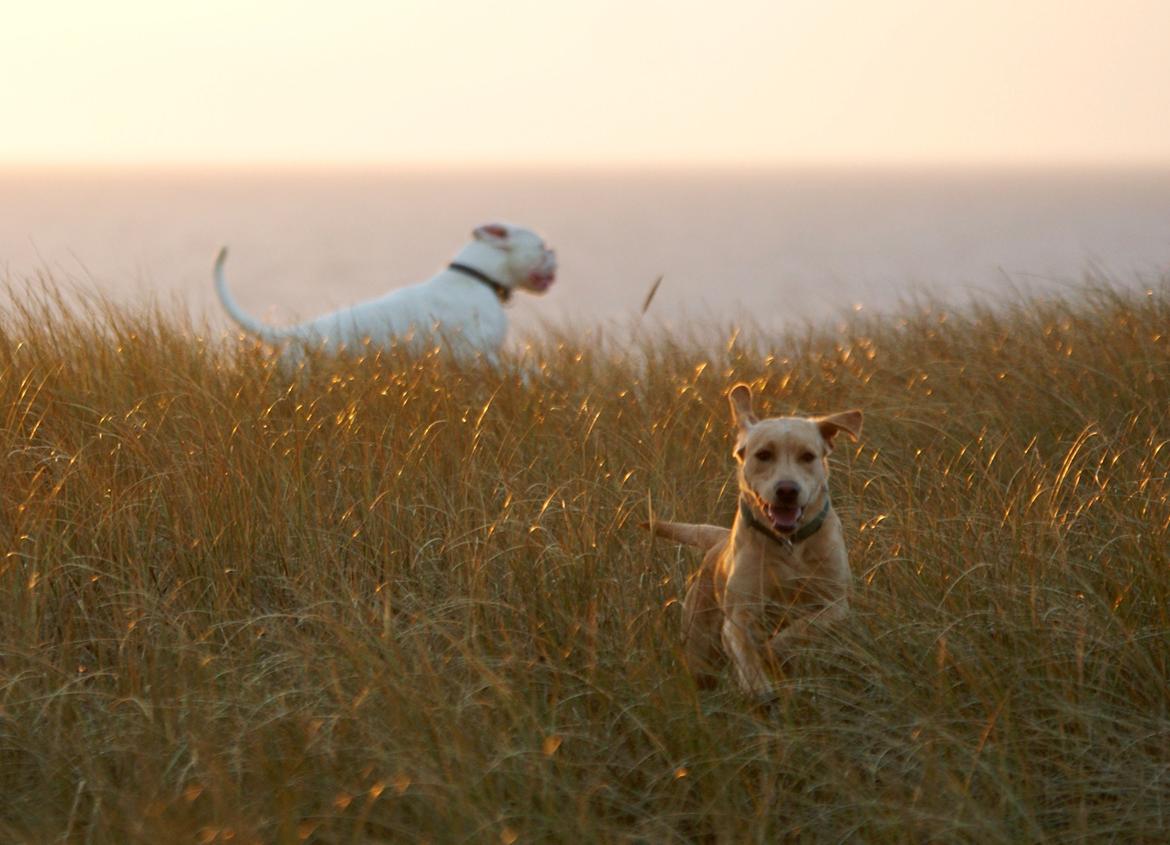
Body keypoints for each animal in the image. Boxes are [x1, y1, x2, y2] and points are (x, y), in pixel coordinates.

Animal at [650, 381, 861, 697]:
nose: (787, 490)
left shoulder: (837, 604)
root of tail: (719, 541)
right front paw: (758, 685)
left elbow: (804, 627)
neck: (789, 544)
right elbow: (745, 650)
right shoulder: (739, 617)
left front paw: (774, 651)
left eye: (808, 456)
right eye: (763, 455)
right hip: (698, 639)